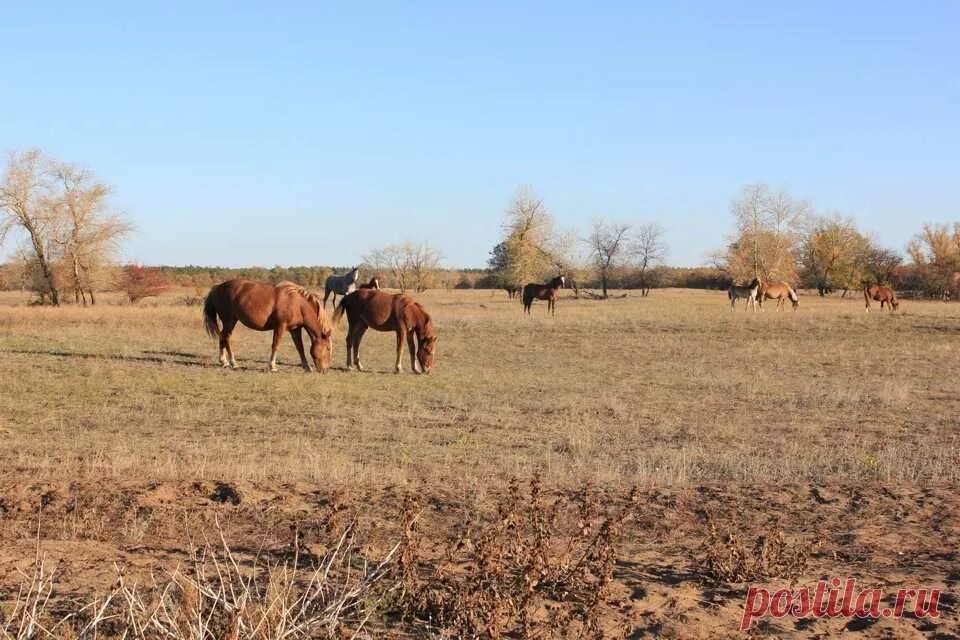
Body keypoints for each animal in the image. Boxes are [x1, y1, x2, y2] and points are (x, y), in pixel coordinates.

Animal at [202, 278, 334, 372]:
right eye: (328, 348)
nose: (325, 370)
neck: (298, 304)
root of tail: (217, 288)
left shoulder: (295, 329)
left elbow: (300, 347)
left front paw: (307, 367)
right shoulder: (280, 327)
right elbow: (275, 345)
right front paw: (272, 366)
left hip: (229, 322)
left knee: (222, 337)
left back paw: (224, 362)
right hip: (230, 321)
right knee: (226, 337)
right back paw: (233, 363)